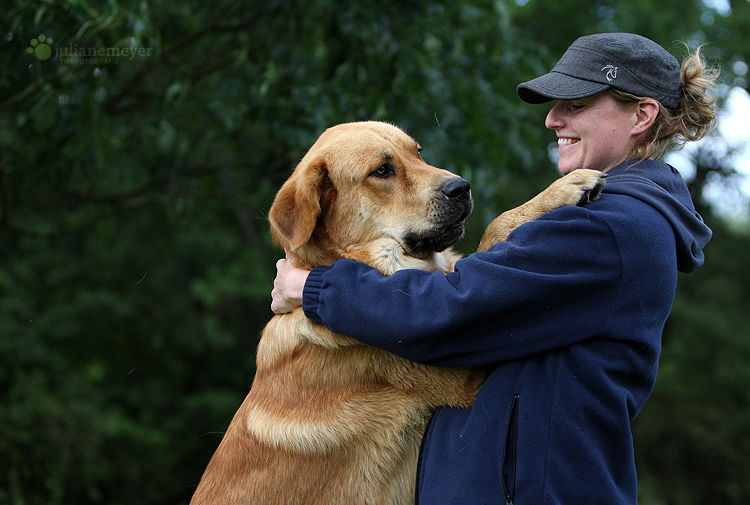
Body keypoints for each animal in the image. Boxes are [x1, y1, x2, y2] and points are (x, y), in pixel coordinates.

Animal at [191, 121, 608, 504]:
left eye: (418, 152)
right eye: (381, 171)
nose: (461, 187)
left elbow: (494, 228)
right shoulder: (466, 379)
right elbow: (494, 229)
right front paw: (565, 187)